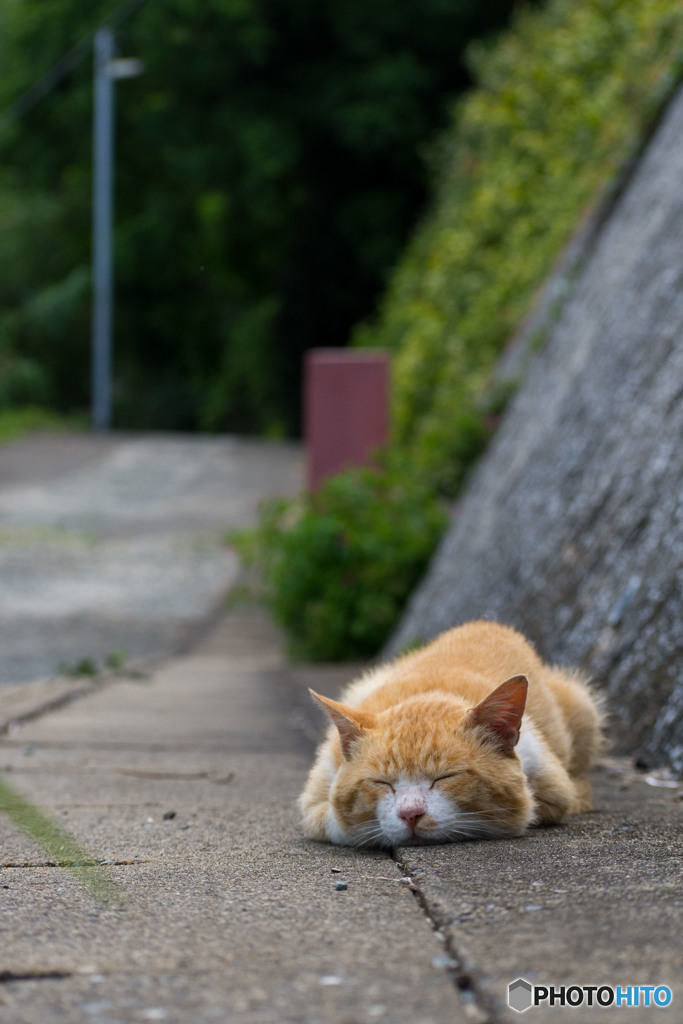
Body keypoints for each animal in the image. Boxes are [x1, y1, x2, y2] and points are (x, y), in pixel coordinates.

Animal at [299, 622, 602, 847]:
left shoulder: (553, 788)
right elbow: (338, 820)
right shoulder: (314, 799)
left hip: (584, 707)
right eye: (381, 783)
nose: (410, 814)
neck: (430, 692)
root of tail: (488, 624)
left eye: (445, 777)